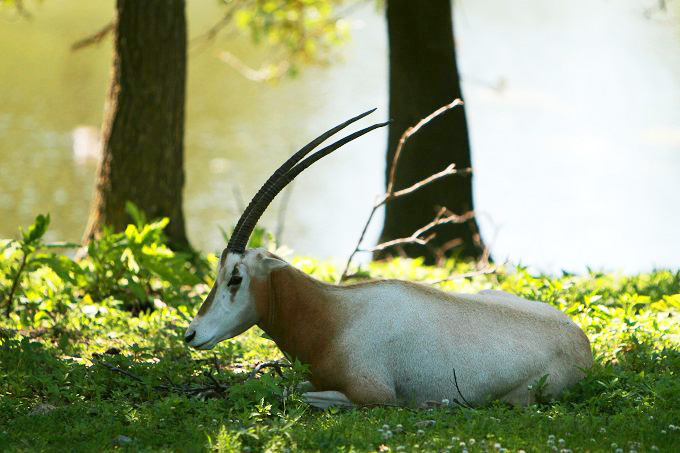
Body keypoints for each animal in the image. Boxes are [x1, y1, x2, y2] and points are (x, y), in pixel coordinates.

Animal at [183, 108, 592, 406]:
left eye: (235, 277)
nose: (191, 334)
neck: (333, 316)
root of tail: (581, 342)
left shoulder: (373, 396)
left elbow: (293, 393)